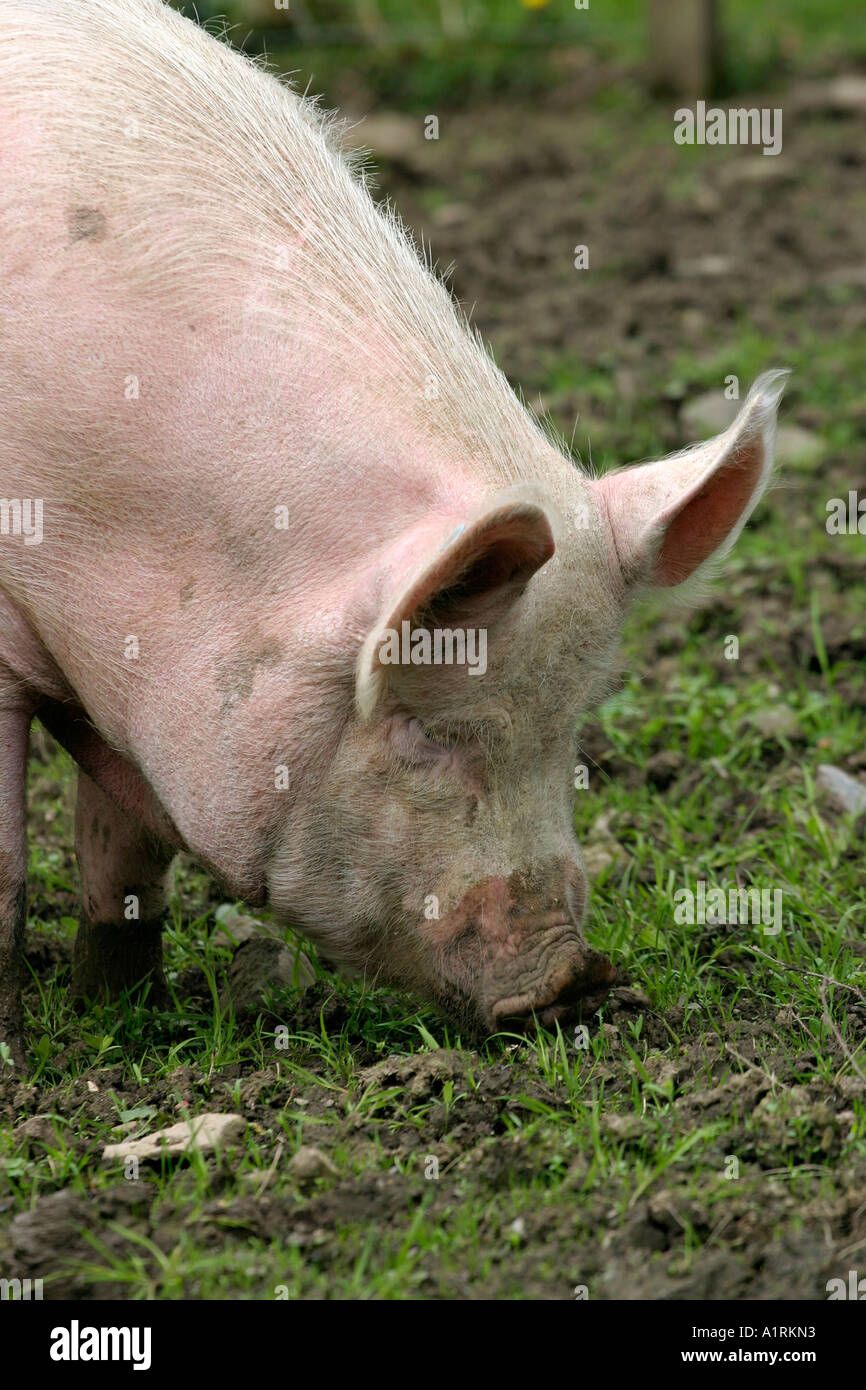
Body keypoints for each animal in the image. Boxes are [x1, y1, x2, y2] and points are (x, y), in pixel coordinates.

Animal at [0, 0, 785, 1065]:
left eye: (574, 724)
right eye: (423, 730)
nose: (573, 982)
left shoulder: (138, 687)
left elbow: (125, 859)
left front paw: (120, 1014)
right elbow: (7, 864)